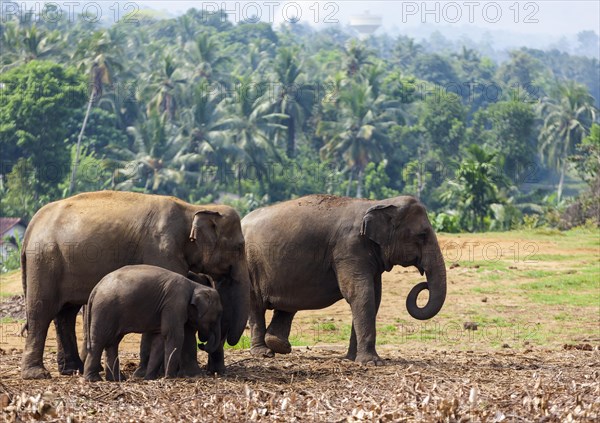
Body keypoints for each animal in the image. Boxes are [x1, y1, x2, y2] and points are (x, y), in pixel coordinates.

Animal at [84, 264, 223, 382]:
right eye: (218, 315)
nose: (202, 344)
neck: (194, 285)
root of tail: (95, 288)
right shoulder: (174, 303)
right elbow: (174, 335)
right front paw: (170, 377)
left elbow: (159, 339)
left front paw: (149, 378)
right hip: (105, 310)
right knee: (100, 341)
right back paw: (93, 379)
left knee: (112, 343)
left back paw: (116, 379)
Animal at [243, 195, 446, 364]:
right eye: (422, 235)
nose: (424, 284)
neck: (377, 203)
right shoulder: (349, 249)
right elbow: (360, 293)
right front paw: (372, 363)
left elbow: (374, 296)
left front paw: (351, 359)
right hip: (249, 264)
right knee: (256, 304)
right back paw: (263, 353)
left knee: (287, 305)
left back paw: (279, 345)